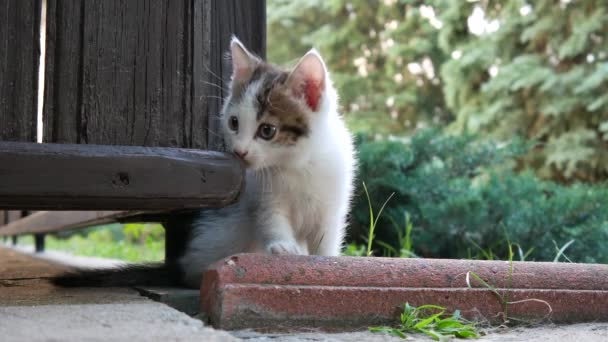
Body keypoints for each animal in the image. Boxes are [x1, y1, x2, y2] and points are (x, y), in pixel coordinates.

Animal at [53, 37, 356, 288]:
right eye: (234, 123)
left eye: (267, 130)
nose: (239, 152)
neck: (297, 164)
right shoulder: (264, 197)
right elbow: (271, 219)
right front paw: (283, 247)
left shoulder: (332, 203)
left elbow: (326, 238)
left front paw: (328, 263)